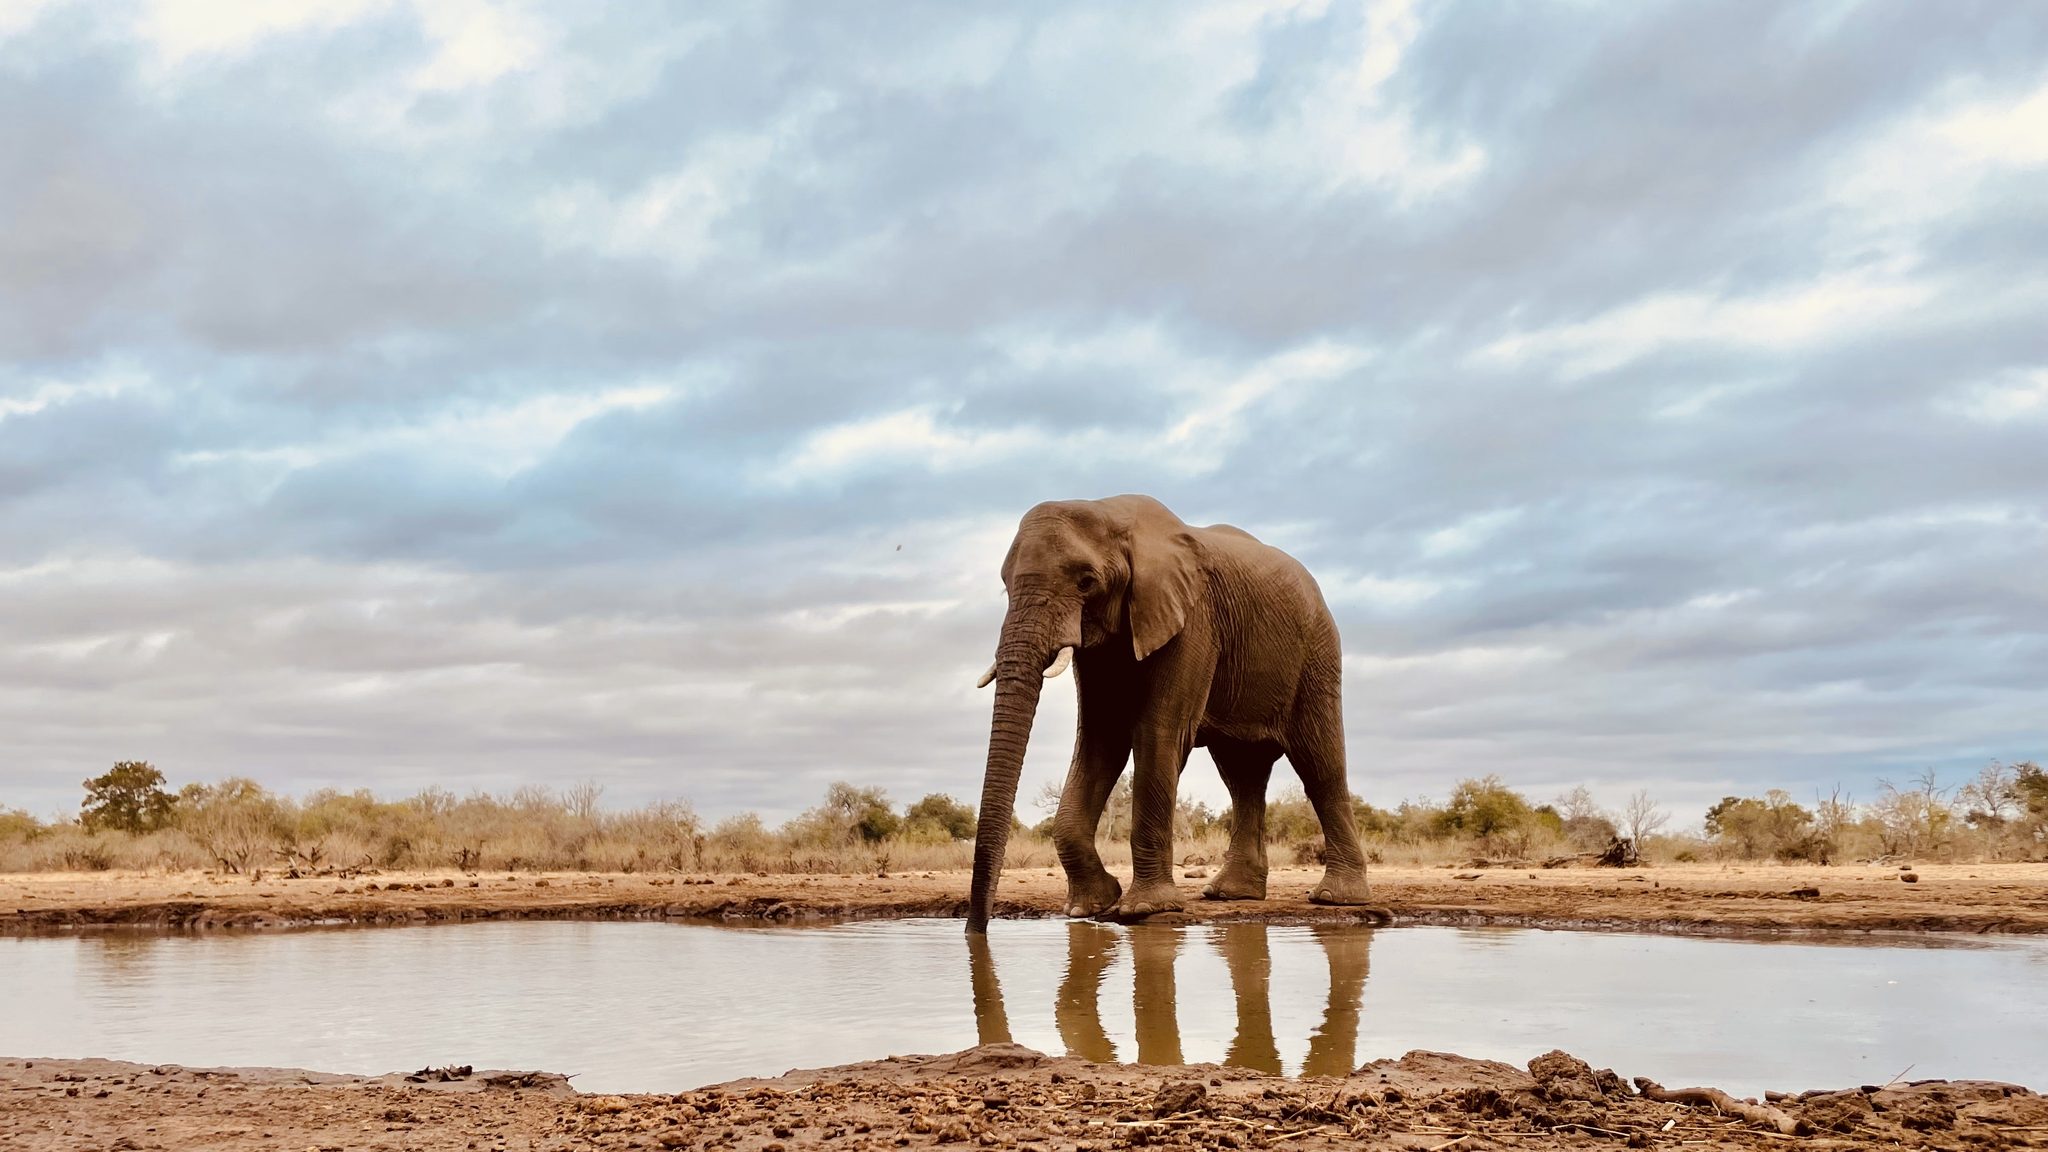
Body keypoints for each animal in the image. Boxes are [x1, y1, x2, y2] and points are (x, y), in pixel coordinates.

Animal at [965, 494, 1373, 932]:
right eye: (1005, 585)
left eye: (1086, 581)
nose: (976, 930)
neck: (1110, 513)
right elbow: (1100, 739)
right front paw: (1089, 907)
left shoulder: (1193, 621)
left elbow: (1159, 733)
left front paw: (1145, 910)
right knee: (1242, 776)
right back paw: (1230, 894)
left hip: (1316, 653)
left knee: (1319, 764)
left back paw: (1336, 899)